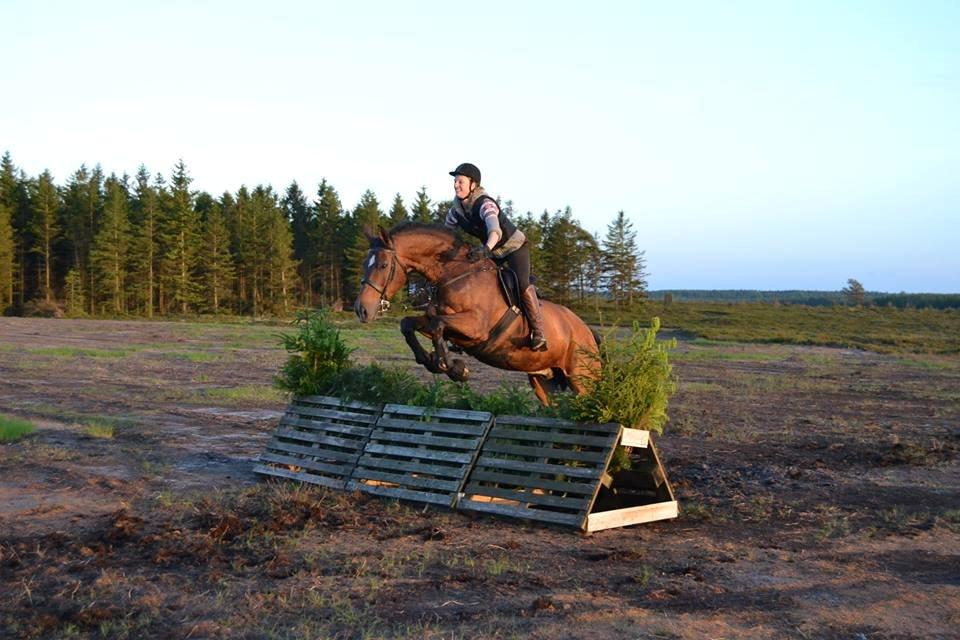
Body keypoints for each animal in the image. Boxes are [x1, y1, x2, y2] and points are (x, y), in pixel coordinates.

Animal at [352, 224, 600, 404]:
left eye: (383, 265)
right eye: (365, 263)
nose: (361, 309)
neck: (453, 274)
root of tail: (587, 332)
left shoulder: (476, 327)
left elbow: (438, 325)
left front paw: (454, 369)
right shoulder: (444, 324)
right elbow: (410, 324)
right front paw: (431, 360)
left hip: (583, 379)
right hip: (543, 381)